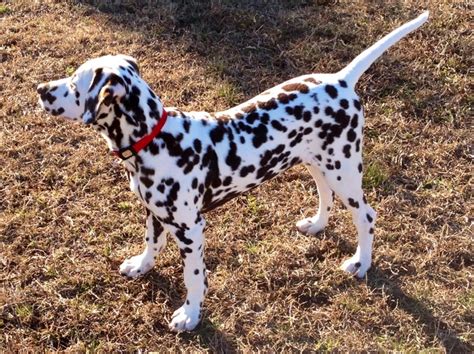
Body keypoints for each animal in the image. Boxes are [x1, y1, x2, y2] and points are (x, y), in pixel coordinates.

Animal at [38, 11, 430, 332]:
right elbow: (152, 242)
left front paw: (190, 315)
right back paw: (317, 225)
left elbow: (194, 277)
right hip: (316, 162)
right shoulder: (154, 212)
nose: (41, 89)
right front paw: (142, 265)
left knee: (366, 215)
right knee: (325, 195)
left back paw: (360, 263)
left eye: (75, 83)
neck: (157, 139)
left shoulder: (191, 230)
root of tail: (341, 79)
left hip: (344, 169)